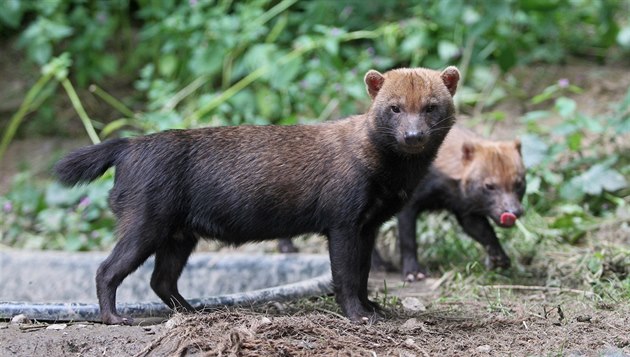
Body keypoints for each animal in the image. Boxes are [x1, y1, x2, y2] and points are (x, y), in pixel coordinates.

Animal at [54, 65, 462, 324]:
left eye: (431, 106)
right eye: (394, 108)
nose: (413, 136)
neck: (386, 174)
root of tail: (129, 145)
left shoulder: (369, 224)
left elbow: (363, 274)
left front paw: (374, 307)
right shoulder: (344, 221)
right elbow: (345, 275)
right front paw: (359, 316)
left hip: (179, 235)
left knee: (161, 281)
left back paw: (195, 311)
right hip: (144, 222)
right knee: (106, 270)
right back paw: (115, 317)